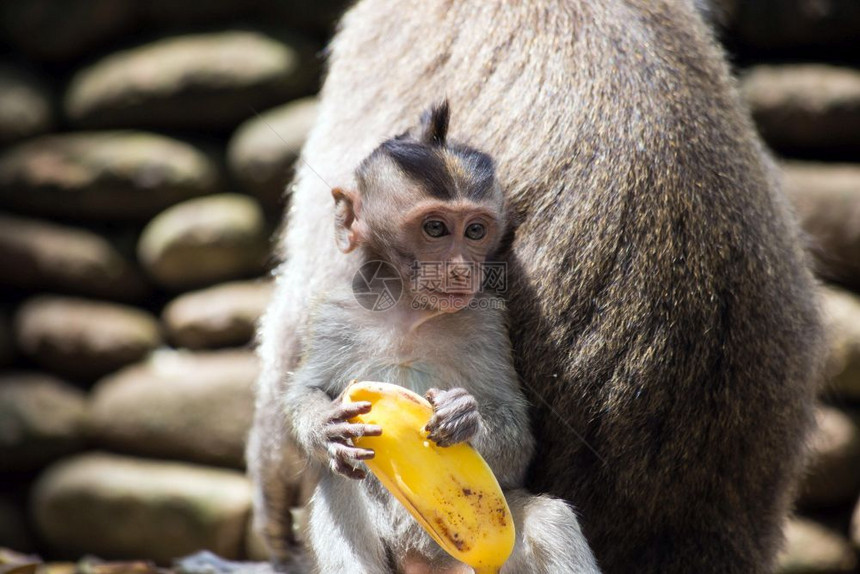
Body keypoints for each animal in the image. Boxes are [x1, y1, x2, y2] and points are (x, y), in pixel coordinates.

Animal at [286, 103, 596, 574]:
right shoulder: (330, 314)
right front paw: (324, 425)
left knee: (550, 521)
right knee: (339, 490)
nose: (460, 269)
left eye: (475, 231)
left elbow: (518, 438)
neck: (408, 313)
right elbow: (305, 389)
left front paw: (465, 417)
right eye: (435, 228)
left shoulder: (487, 322)